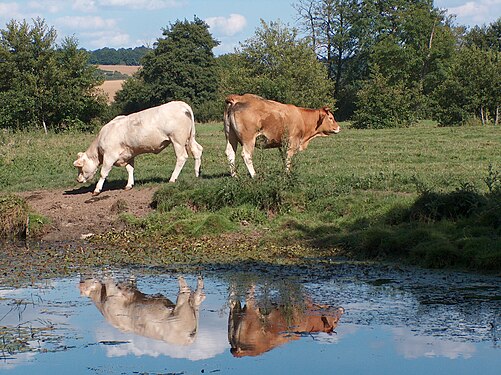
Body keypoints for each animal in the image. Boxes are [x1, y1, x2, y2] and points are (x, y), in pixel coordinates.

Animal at [72, 101, 201, 195]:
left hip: (177, 141)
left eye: (80, 167)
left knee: (181, 157)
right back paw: (197, 174)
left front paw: (97, 189)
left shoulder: (109, 156)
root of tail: (181, 104)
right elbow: (130, 169)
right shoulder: (129, 154)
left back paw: (172, 179)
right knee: (197, 151)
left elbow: (103, 173)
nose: (78, 179)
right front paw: (129, 185)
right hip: (189, 138)